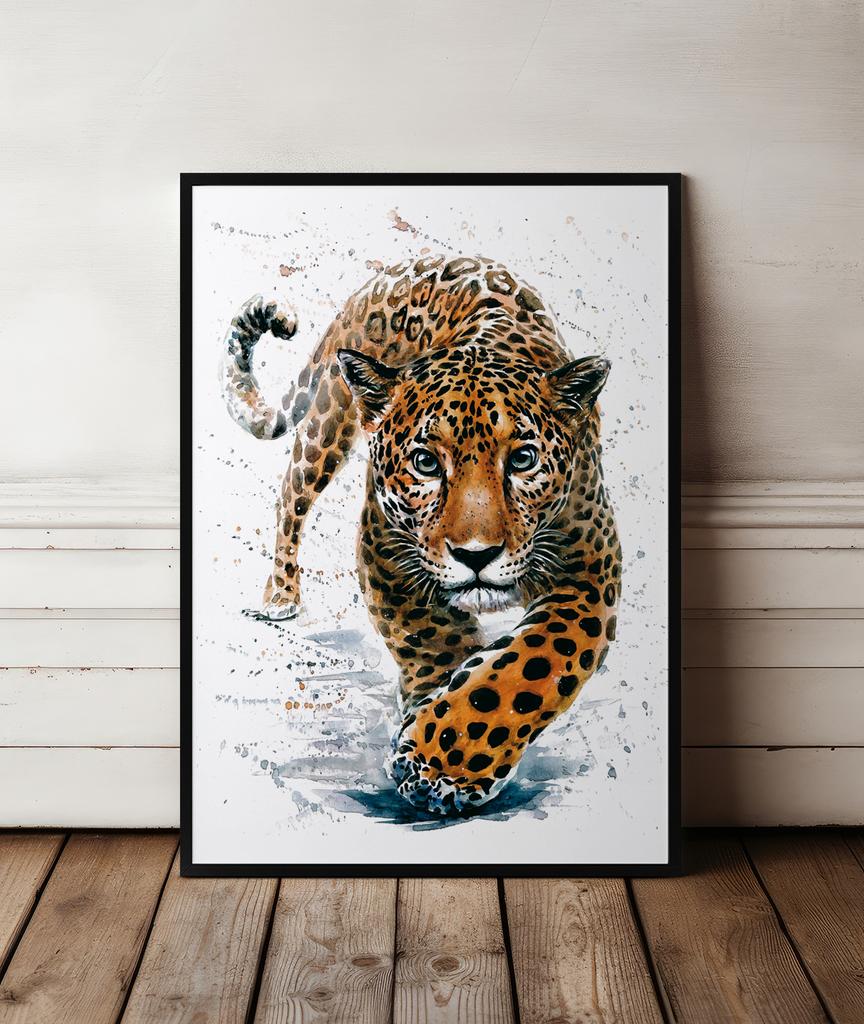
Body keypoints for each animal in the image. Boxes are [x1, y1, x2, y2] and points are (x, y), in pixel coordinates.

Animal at [220, 254, 621, 815]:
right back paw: (280, 594)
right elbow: (434, 640)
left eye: (523, 459)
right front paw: (435, 745)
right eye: (426, 463)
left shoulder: (588, 574)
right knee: (290, 496)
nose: (476, 555)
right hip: (328, 421)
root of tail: (399, 267)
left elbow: (528, 666)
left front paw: (444, 761)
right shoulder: (386, 553)